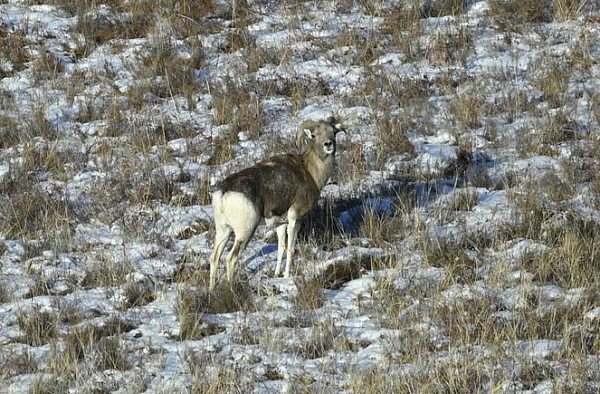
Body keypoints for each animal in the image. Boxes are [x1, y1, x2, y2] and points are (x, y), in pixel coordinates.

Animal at [210, 117, 342, 290]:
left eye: (333, 132)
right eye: (314, 135)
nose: (328, 144)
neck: (310, 172)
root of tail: (224, 193)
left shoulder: (281, 224)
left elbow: (281, 248)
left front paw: (277, 274)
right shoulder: (295, 220)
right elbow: (290, 249)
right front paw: (286, 276)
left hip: (223, 231)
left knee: (214, 258)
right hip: (244, 233)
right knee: (231, 259)